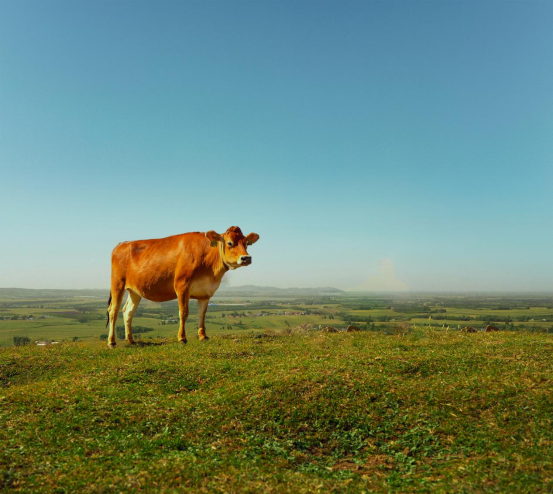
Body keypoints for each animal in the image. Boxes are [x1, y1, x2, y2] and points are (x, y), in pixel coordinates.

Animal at [106, 227, 260, 348]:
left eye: (246, 243)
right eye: (229, 243)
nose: (246, 258)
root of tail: (122, 244)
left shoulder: (205, 292)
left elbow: (202, 314)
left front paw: (203, 336)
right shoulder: (182, 285)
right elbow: (183, 313)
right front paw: (182, 338)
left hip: (135, 290)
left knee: (128, 311)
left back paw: (131, 340)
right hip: (117, 284)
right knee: (113, 310)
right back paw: (112, 342)